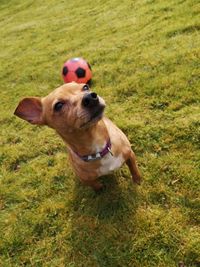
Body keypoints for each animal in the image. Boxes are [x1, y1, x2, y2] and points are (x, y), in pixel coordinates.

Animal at [13, 82, 141, 192]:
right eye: (58, 105)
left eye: (85, 87)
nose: (90, 97)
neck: (98, 146)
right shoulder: (86, 180)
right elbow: (96, 185)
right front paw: (100, 190)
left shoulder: (130, 155)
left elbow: (134, 169)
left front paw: (137, 181)